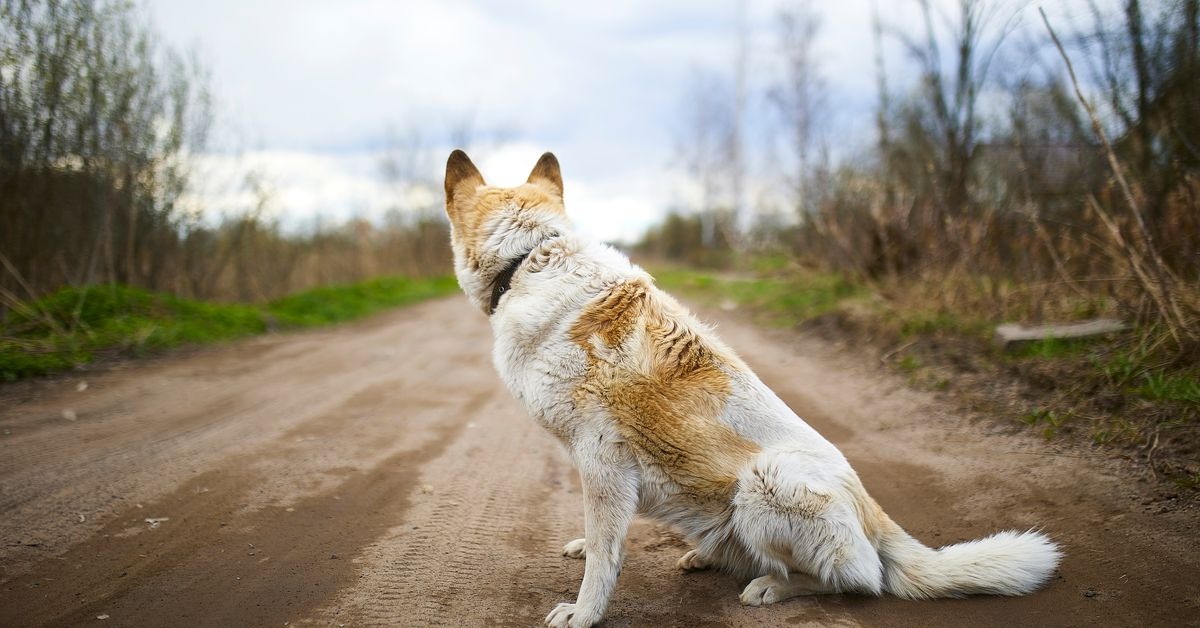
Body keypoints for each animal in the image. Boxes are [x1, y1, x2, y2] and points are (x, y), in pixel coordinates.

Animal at [446, 150, 1065, 624]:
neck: (528, 260)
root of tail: (877, 517)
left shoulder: (601, 457)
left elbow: (604, 556)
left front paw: (584, 613)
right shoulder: (595, 465)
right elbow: (599, 537)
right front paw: (582, 552)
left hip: (765, 481)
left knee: (860, 579)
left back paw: (773, 586)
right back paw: (708, 556)